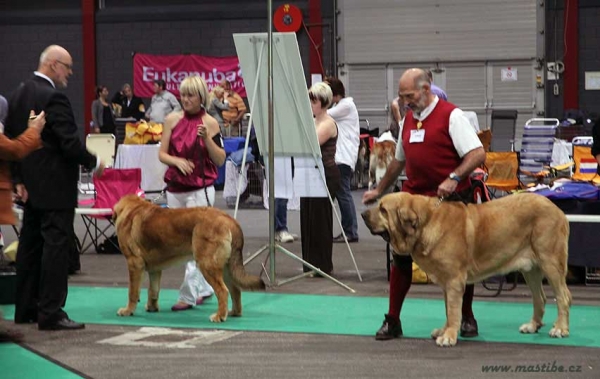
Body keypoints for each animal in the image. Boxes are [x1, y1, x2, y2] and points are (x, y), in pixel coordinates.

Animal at [112, 196, 264, 324]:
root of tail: (229, 220)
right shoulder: (155, 270)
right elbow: (153, 290)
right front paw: (152, 308)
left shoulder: (134, 263)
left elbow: (132, 291)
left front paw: (127, 311)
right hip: (226, 267)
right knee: (235, 290)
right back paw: (234, 312)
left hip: (207, 265)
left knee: (223, 291)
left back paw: (219, 316)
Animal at [360, 193, 572, 348]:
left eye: (383, 210)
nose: (363, 214)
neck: (427, 222)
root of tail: (558, 210)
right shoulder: (446, 284)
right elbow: (448, 309)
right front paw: (444, 330)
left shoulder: (454, 281)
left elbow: (454, 310)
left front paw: (448, 336)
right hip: (531, 269)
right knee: (540, 298)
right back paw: (533, 325)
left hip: (550, 262)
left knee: (563, 296)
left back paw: (560, 329)